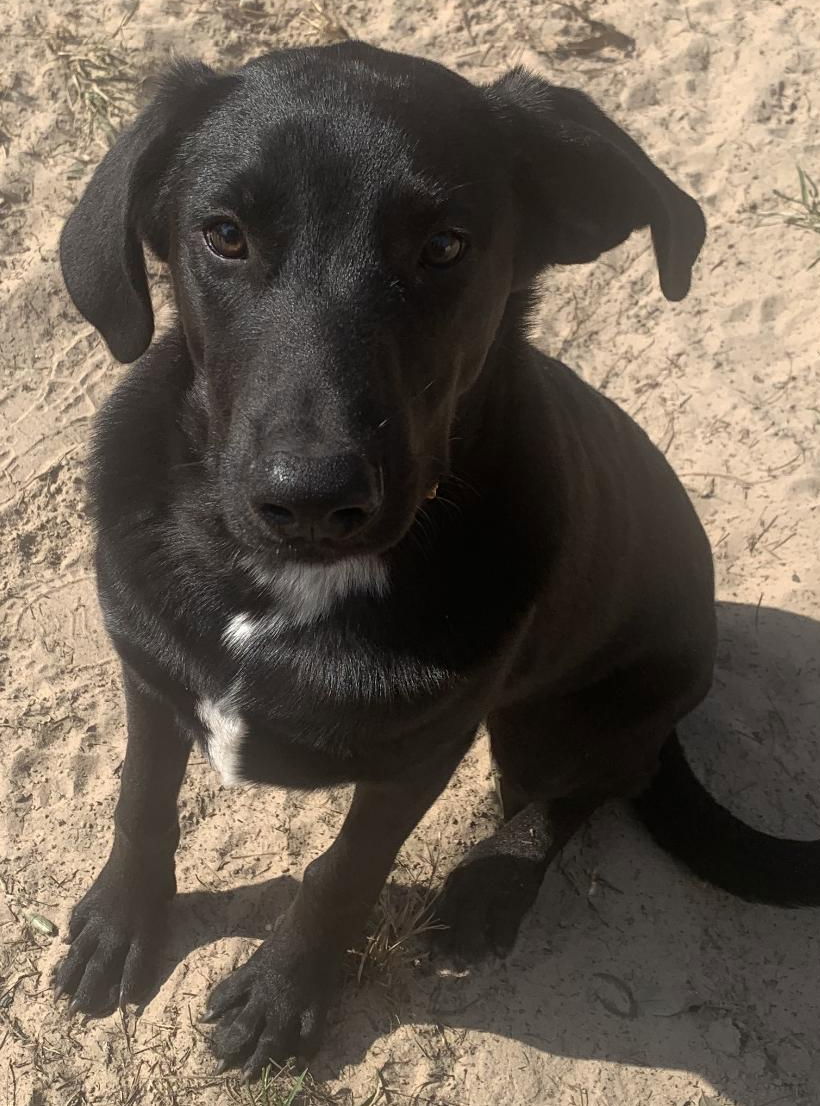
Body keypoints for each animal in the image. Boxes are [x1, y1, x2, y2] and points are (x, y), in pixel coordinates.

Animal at [52, 45, 818, 1079]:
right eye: (224, 235)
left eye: (447, 246)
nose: (311, 501)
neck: (283, 589)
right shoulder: (151, 670)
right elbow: (142, 798)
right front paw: (121, 921)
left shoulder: (421, 752)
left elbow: (343, 873)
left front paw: (283, 994)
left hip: (570, 715)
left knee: (583, 792)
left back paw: (492, 884)